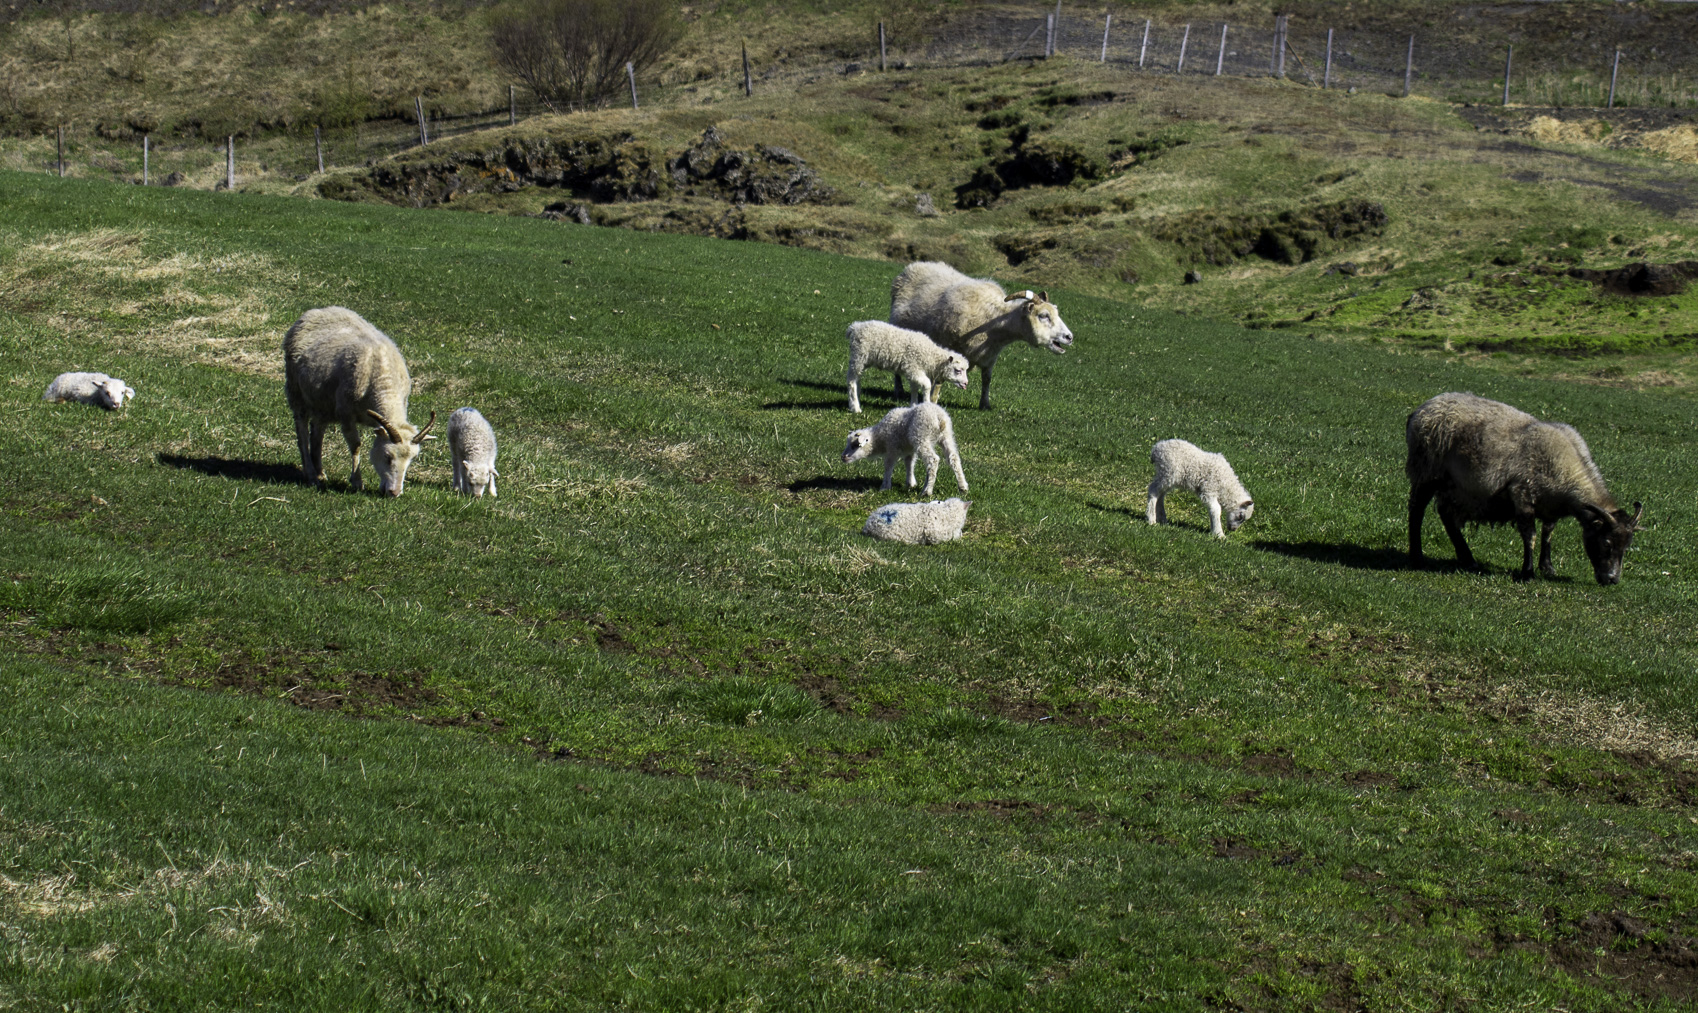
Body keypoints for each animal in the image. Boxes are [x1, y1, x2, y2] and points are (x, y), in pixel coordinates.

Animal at [281, 308, 434, 498]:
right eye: (387, 456)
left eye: (412, 459)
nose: (395, 492)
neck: (383, 381)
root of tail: (319, 310)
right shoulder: (346, 413)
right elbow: (356, 446)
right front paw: (357, 482)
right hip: (296, 392)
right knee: (301, 434)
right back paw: (311, 475)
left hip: (323, 403)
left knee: (317, 433)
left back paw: (320, 473)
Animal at [838, 402, 971, 498]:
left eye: (855, 445)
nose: (843, 457)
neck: (880, 437)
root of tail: (940, 419)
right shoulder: (909, 449)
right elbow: (909, 463)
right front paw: (910, 483)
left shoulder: (892, 447)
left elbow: (888, 466)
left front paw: (885, 486)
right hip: (946, 436)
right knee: (953, 458)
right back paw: (962, 487)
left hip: (921, 436)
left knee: (933, 460)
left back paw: (927, 491)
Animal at [889, 261, 1073, 410]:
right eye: (1043, 316)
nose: (1069, 337)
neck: (993, 323)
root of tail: (915, 265)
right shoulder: (948, 348)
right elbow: (940, 380)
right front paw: (933, 401)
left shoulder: (990, 356)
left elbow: (987, 379)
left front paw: (985, 404)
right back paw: (899, 390)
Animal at [1405, 395, 1643, 583]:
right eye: (1606, 543)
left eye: (1627, 547)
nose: (1612, 580)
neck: (1568, 473)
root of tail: (1422, 408)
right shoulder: (1523, 494)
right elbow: (1531, 535)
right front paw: (1527, 572)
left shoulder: (1550, 505)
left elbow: (1548, 533)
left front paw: (1547, 567)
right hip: (1427, 470)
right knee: (1416, 510)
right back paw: (1417, 557)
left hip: (1455, 486)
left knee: (1446, 515)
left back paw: (1467, 559)